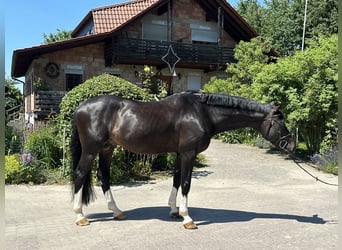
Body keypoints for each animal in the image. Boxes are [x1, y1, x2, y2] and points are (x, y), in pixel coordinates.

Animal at [71, 91, 296, 229]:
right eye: (280, 122)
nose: (292, 146)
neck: (202, 112)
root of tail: (81, 107)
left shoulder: (180, 153)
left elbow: (177, 179)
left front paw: (174, 210)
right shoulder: (189, 153)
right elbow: (186, 183)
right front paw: (187, 218)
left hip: (107, 148)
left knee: (104, 176)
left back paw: (117, 212)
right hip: (91, 150)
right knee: (80, 175)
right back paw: (80, 216)